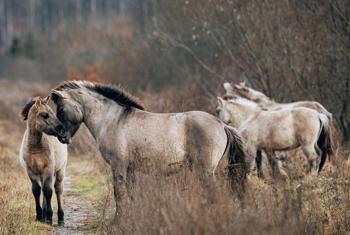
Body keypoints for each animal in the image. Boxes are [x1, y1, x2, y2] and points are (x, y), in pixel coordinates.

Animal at [19, 96, 67, 225]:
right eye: (44, 115)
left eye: (53, 113)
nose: (62, 131)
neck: (35, 148)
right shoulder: (31, 172)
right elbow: (36, 191)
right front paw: (39, 216)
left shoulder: (48, 170)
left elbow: (48, 191)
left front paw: (49, 217)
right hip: (42, 174)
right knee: (44, 194)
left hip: (60, 171)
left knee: (58, 190)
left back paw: (60, 218)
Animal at [48, 80, 249, 217]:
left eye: (61, 110)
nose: (61, 137)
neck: (113, 120)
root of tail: (222, 125)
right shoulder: (131, 169)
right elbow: (131, 195)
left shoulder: (119, 167)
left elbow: (119, 194)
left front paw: (118, 221)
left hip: (206, 171)